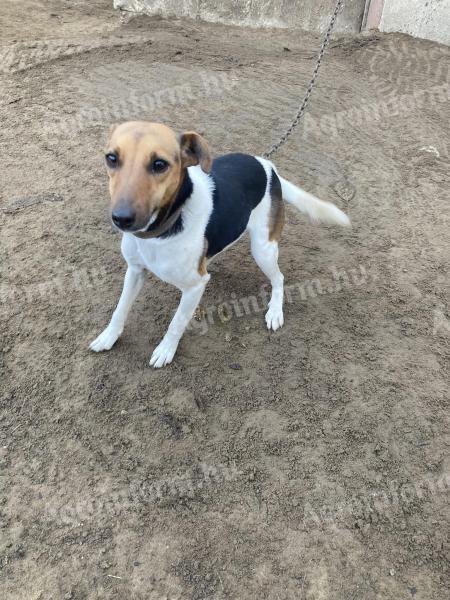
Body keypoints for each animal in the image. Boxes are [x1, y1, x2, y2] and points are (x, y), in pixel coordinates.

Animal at [89, 121, 350, 366]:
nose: (121, 218)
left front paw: (165, 350)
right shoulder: (135, 271)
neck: (161, 231)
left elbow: (176, 323)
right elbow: (120, 309)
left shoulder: (194, 287)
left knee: (279, 279)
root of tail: (268, 167)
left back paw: (275, 311)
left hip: (263, 250)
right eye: (111, 158)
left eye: (159, 165)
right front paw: (109, 337)